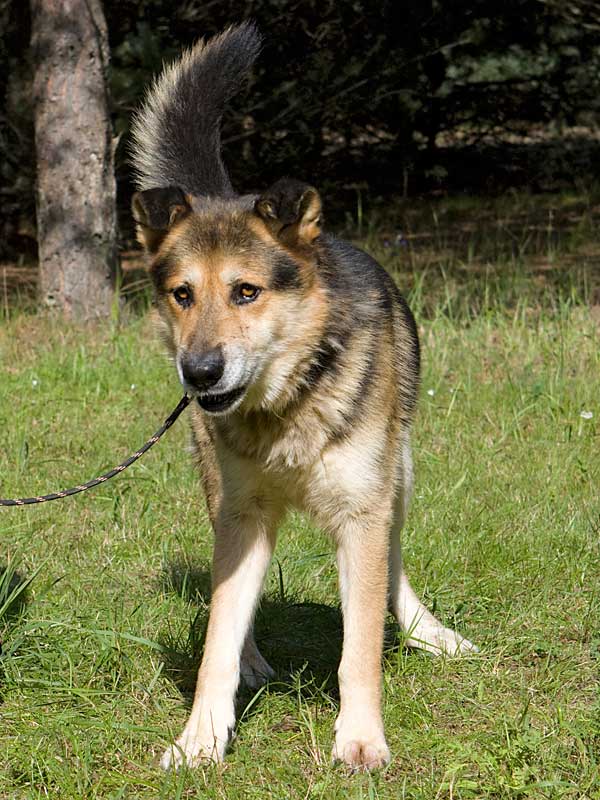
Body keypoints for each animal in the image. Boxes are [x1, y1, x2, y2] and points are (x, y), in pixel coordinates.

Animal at [130, 22, 475, 772]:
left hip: (399, 472)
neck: (288, 404)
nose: (199, 373)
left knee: (393, 571)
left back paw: (427, 631)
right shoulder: (244, 516)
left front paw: (361, 737)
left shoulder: (362, 512)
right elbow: (217, 641)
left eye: (246, 292)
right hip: (222, 497)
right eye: (182, 294)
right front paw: (201, 737)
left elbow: (359, 647)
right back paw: (255, 661)